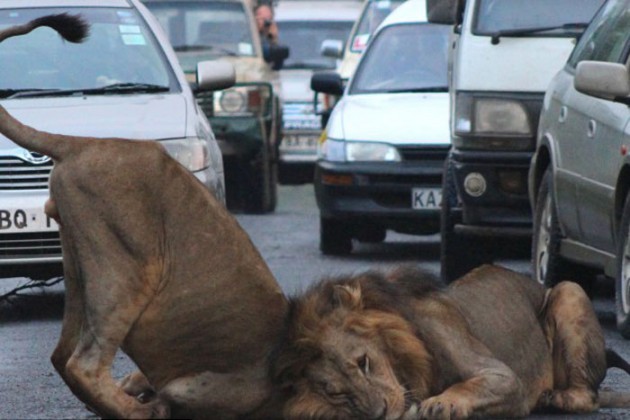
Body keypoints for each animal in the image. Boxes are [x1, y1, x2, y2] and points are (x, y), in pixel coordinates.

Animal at [0, 14, 288, 418]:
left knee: (61, 355)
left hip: (78, 261)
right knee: (83, 364)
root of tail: (84, 143)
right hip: (127, 268)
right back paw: (139, 411)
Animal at [276, 268, 630, 418]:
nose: (380, 413)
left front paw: (441, 403)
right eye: (335, 392)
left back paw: (554, 398)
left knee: (588, 397)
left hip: (569, 290)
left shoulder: (505, 378)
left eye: (364, 362)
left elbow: (473, 384)